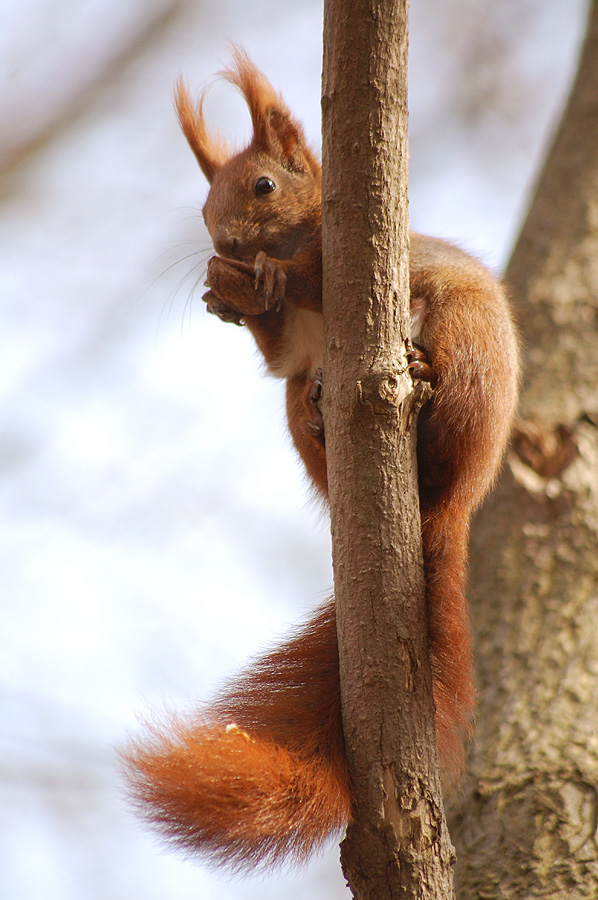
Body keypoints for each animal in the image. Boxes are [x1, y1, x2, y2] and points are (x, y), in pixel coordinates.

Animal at [125, 49, 520, 872]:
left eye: (264, 186)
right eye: (203, 206)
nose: (227, 248)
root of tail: (451, 505)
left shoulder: (375, 263)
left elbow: (319, 276)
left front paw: (269, 279)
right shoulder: (284, 352)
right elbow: (278, 354)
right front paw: (227, 297)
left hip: (466, 335)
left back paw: (420, 374)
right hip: (303, 414)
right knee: (299, 394)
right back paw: (317, 408)